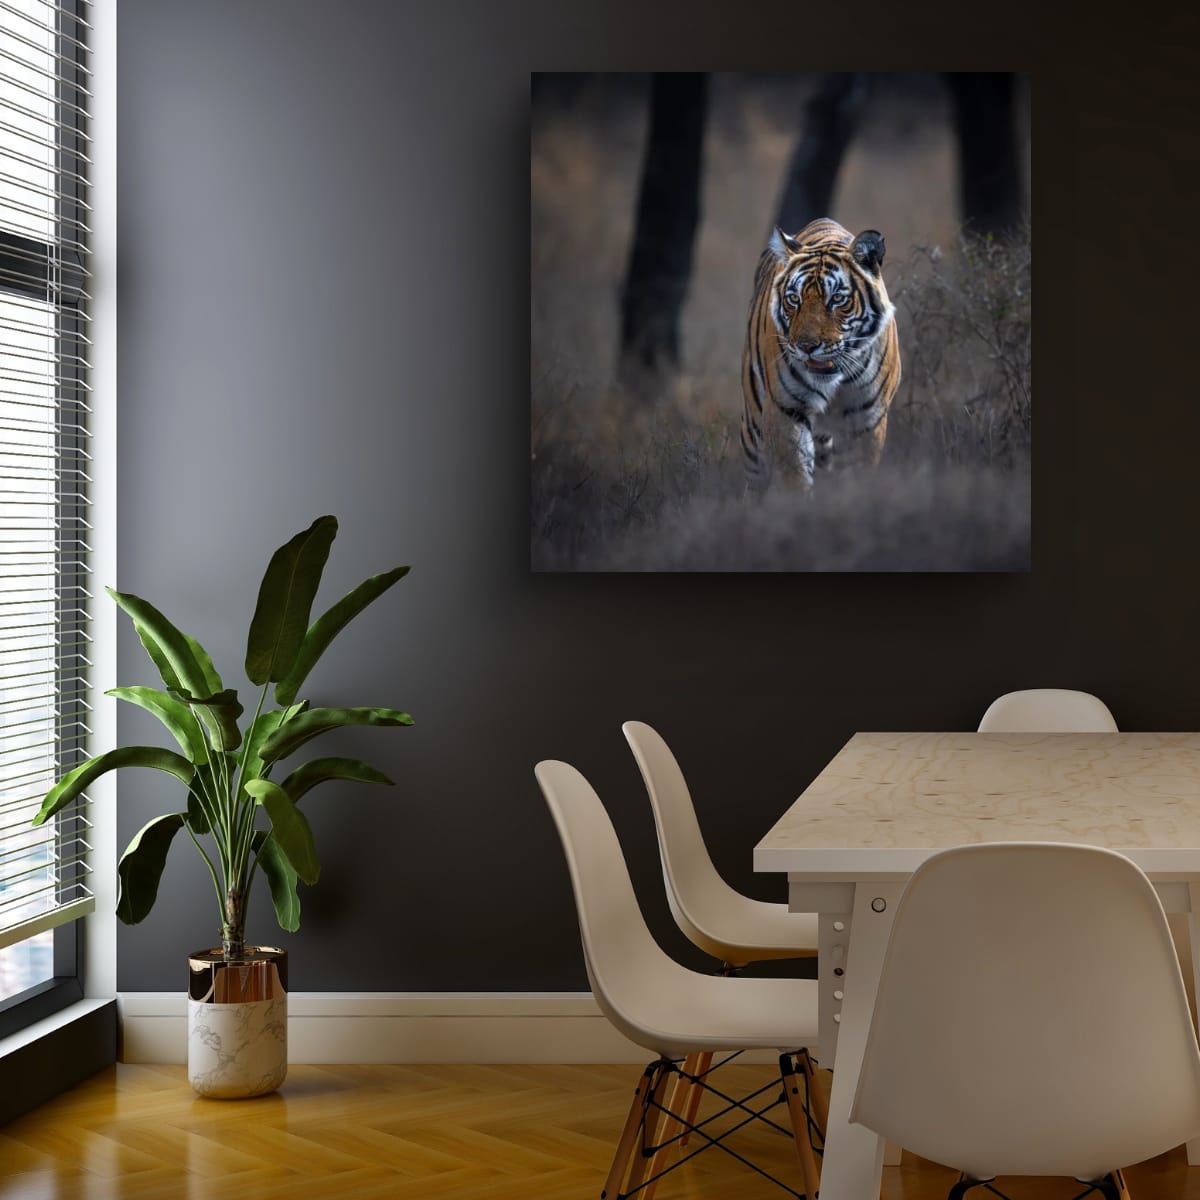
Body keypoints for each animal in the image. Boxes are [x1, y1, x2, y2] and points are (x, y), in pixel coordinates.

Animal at [740, 217, 901, 493]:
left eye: (836, 299)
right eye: (794, 299)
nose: (806, 346)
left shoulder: (866, 417)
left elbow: (858, 474)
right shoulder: (787, 410)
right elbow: (794, 476)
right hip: (753, 430)